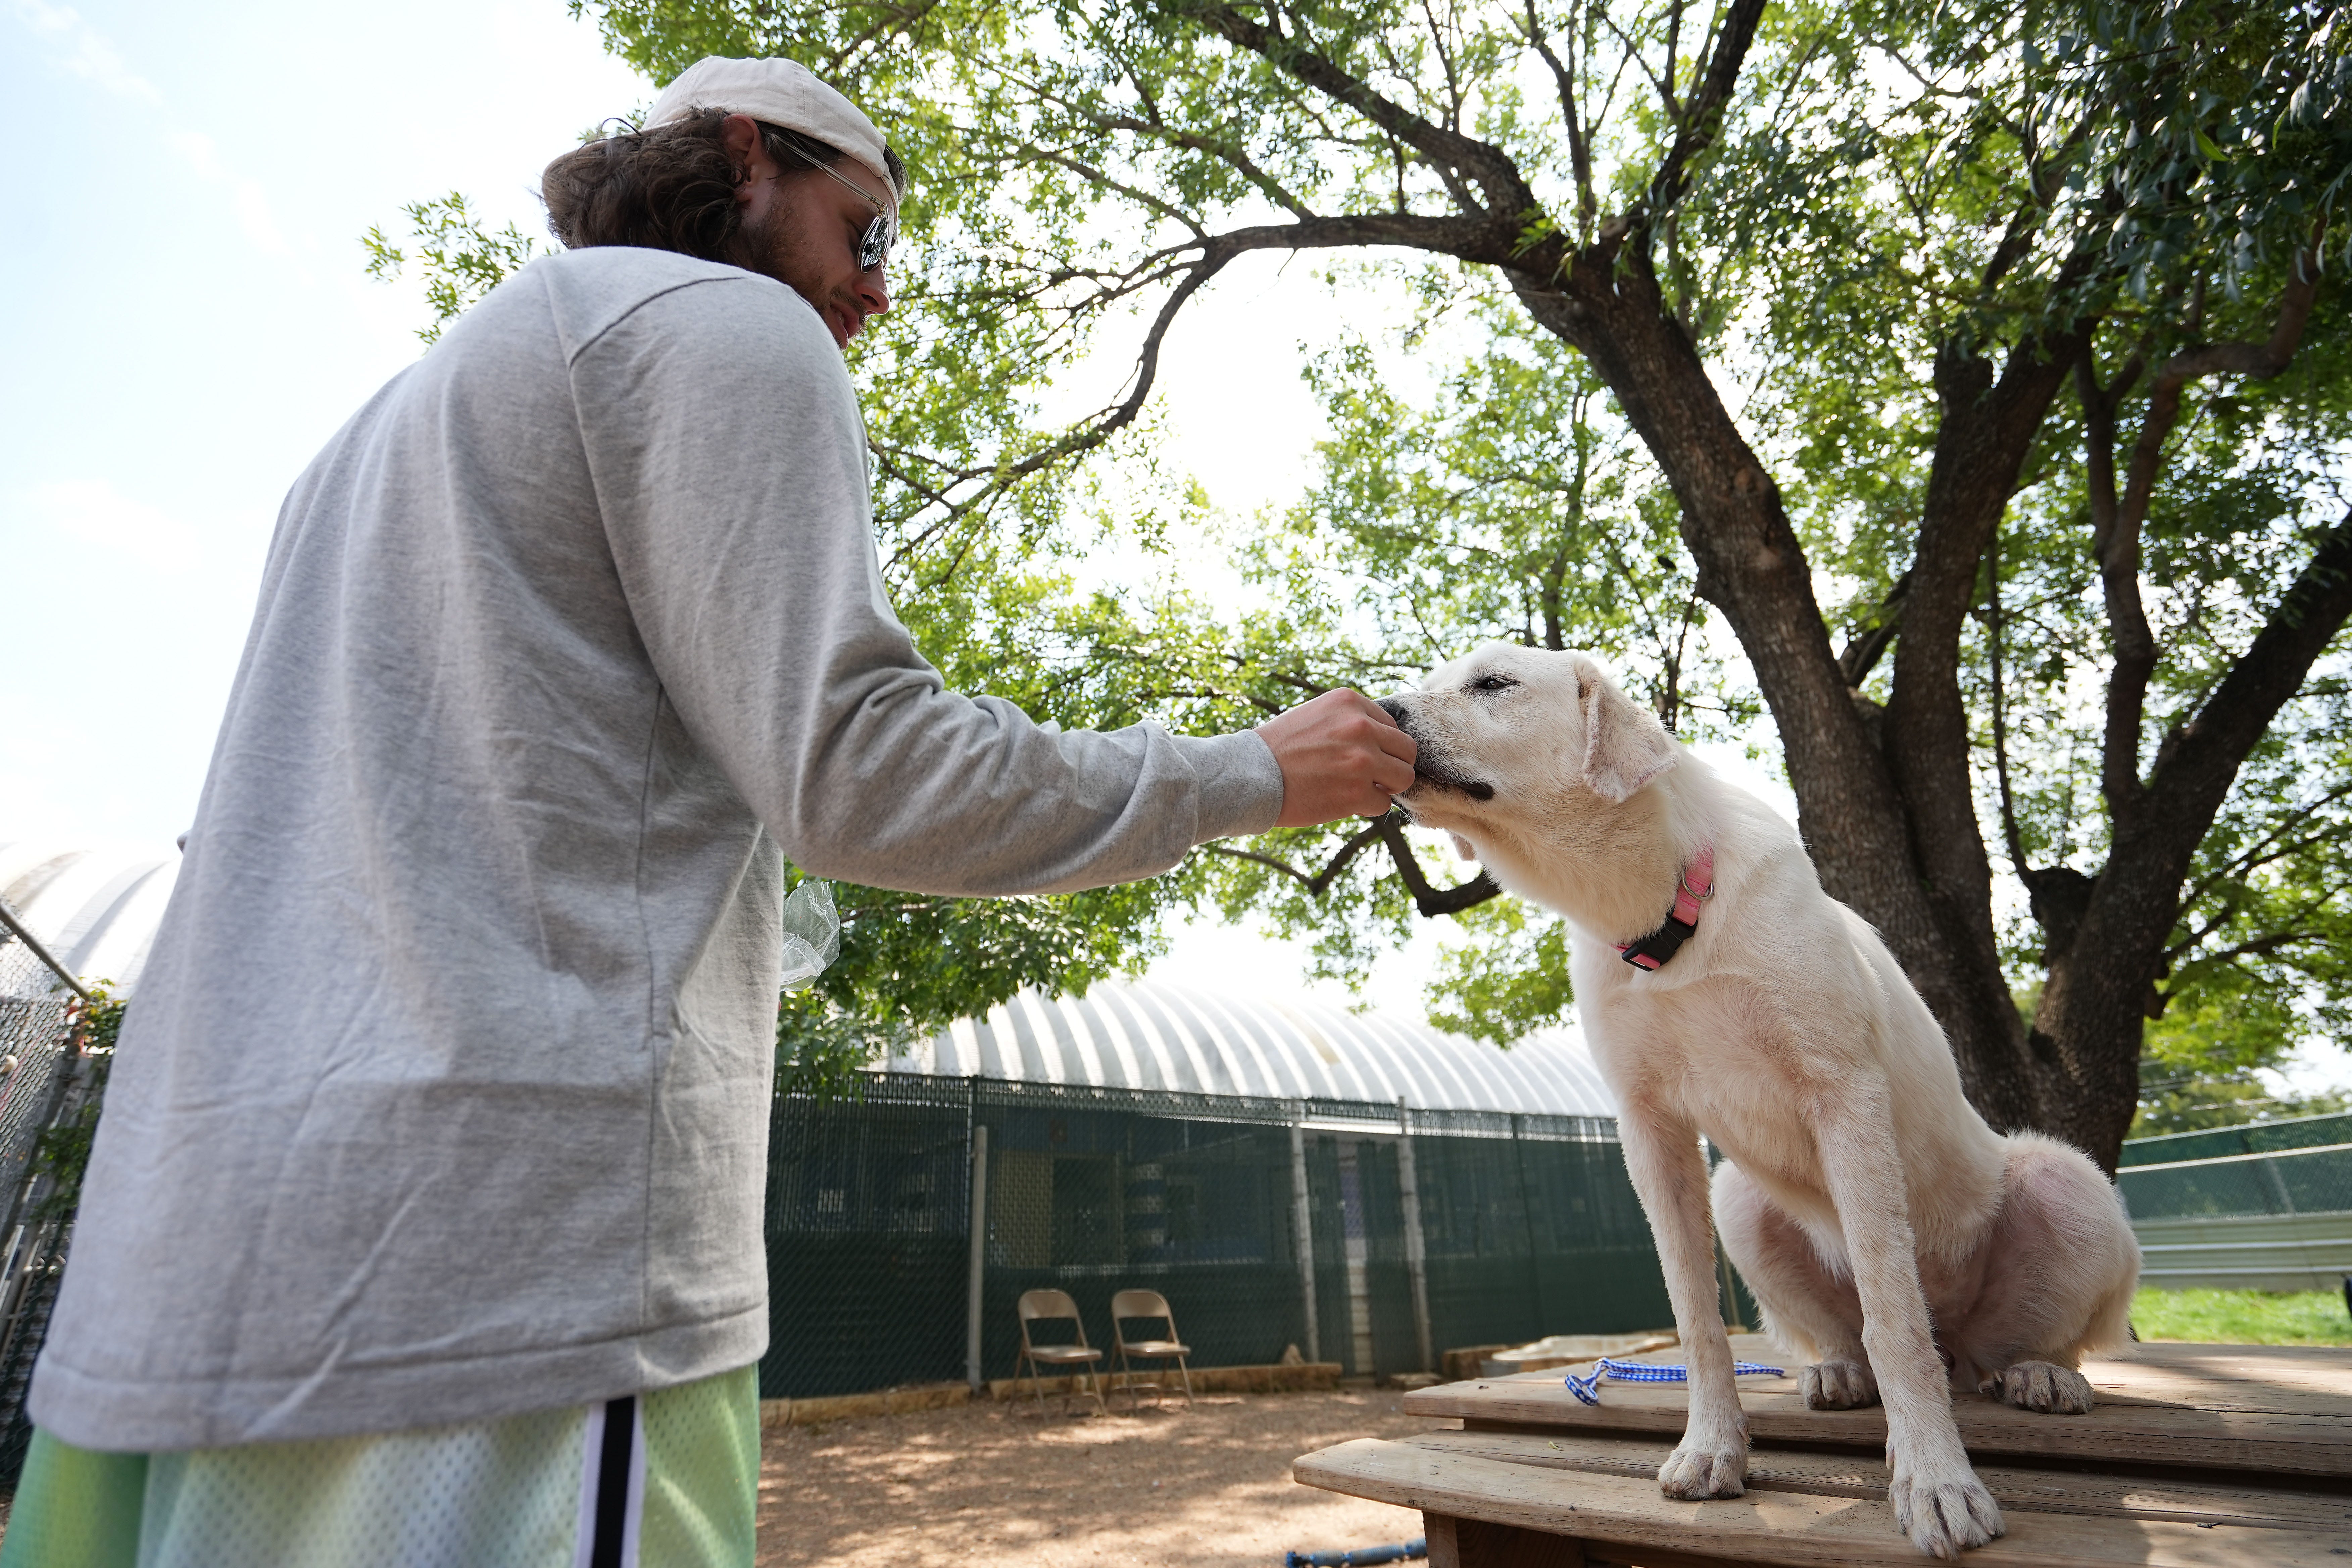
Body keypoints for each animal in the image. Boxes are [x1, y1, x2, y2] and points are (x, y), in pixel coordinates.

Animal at [1383, 649, 2145, 1561]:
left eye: (1493, 683)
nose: (1381, 711)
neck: (1662, 908)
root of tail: (1967, 1348)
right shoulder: (1650, 1129)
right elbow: (1698, 1318)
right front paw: (1713, 1448)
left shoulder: (1844, 1094)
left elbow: (1895, 1316)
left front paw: (1935, 1480)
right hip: (1740, 1196)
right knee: (1851, 1333)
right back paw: (1838, 1371)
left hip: (2066, 1179)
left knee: (2031, 1337)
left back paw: (2042, 1372)